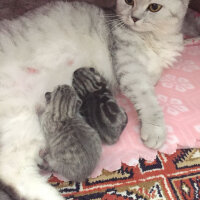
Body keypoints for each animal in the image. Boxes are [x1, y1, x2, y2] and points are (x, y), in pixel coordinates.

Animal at [0, 0, 189, 200]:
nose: (134, 18)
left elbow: (153, 78)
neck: (155, 37)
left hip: (22, 123)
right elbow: (146, 97)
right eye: (129, 2)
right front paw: (155, 128)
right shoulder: (129, 67)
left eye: (154, 7)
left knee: (10, 168)